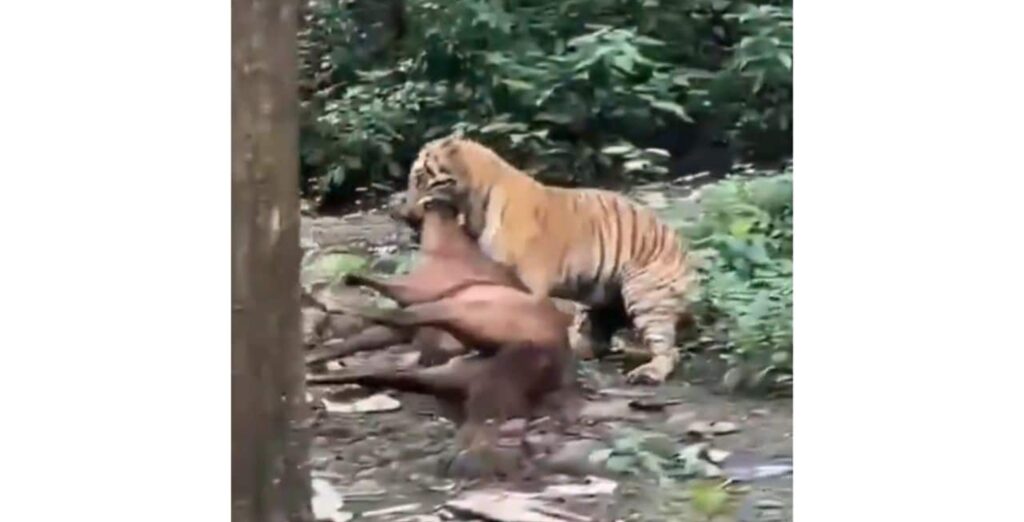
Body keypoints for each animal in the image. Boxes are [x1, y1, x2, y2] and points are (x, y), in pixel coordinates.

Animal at [390, 135, 697, 385]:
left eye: (419, 177)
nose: (405, 214)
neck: (472, 205)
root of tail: (681, 246)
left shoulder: (525, 284)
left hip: (645, 297)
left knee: (669, 349)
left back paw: (649, 372)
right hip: (599, 300)